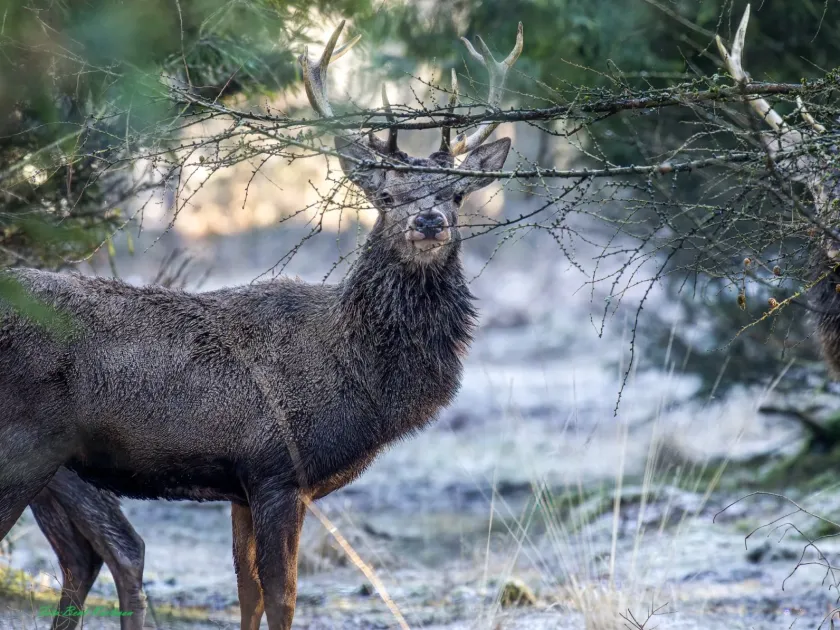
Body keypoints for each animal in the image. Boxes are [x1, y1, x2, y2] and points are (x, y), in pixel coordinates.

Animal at [0, 20, 524, 630]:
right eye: (385, 194)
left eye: (457, 193)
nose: (429, 220)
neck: (354, 371)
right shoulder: (276, 468)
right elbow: (282, 596)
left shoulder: (241, 487)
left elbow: (246, 595)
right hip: (23, 445)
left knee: (83, 556)